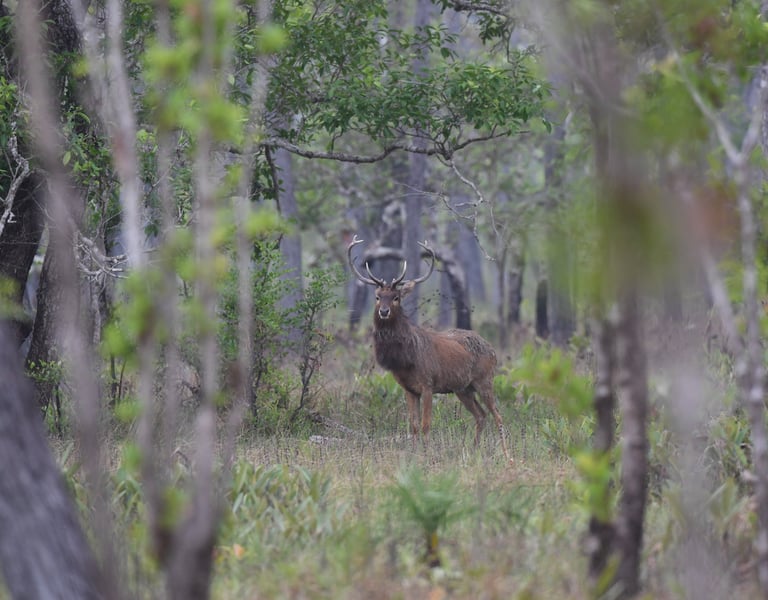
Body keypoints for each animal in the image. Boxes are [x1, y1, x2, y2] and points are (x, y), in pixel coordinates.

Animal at [348, 235, 512, 462]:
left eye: (396, 297)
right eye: (378, 296)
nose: (384, 311)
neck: (405, 360)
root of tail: (493, 351)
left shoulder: (427, 384)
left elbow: (426, 424)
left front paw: (427, 456)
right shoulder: (409, 389)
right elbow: (414, 426)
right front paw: (413, 455)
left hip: (485, 380)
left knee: (498, 415)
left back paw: (507, 455)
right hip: (463, 388)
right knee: (481, 415)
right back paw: (474, 450)